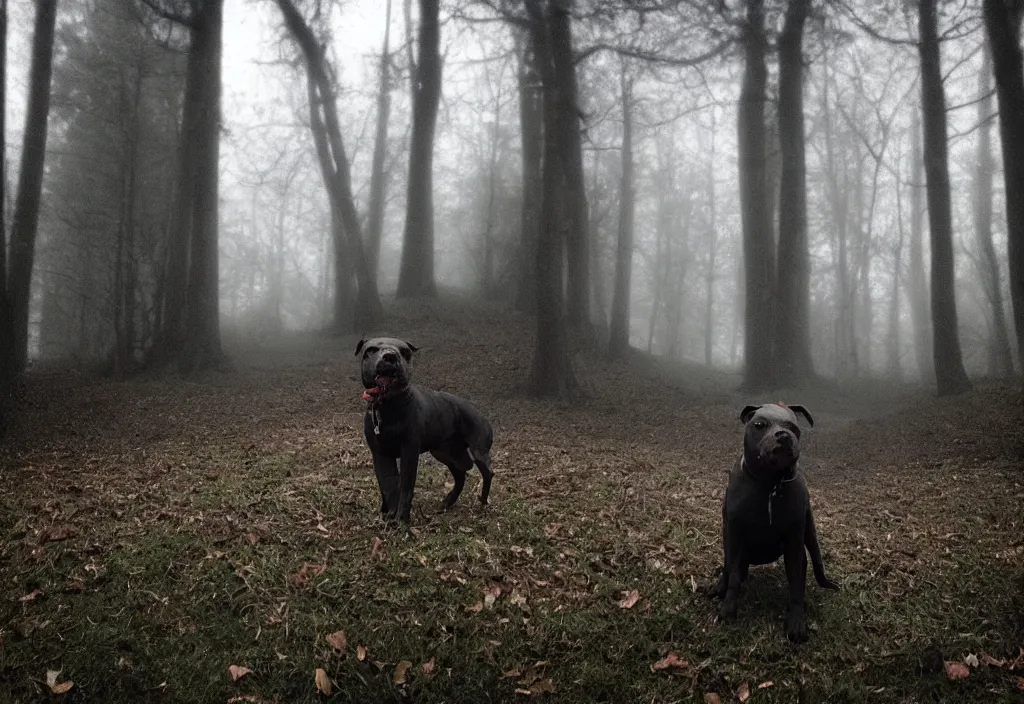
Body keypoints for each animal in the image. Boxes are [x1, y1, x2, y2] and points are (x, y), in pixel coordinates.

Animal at [354, 335, 493, 521]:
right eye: (370, 351)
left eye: (405, 352)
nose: (390, 356)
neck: (387, 406)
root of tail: (479, 412)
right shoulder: (380, 454)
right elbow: (388, 486)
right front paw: (388, 513)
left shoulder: (409, 452)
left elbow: (405, 488)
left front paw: (401, 520)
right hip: (445, 453)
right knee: (460, 474)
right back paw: (448, 501)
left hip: (478, 451)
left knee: (487, 473)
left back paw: (483, 500)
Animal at [704, 405, 839, 642]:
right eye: (760, 424)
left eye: (794, 428)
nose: (783, 435)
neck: (770, 484)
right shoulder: (735, 535)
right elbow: (733, 574)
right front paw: (728, 609)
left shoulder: (794, 542)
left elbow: (796, 584)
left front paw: (796, 622)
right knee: (729, 568)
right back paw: (719, 586)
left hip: (809, 534)